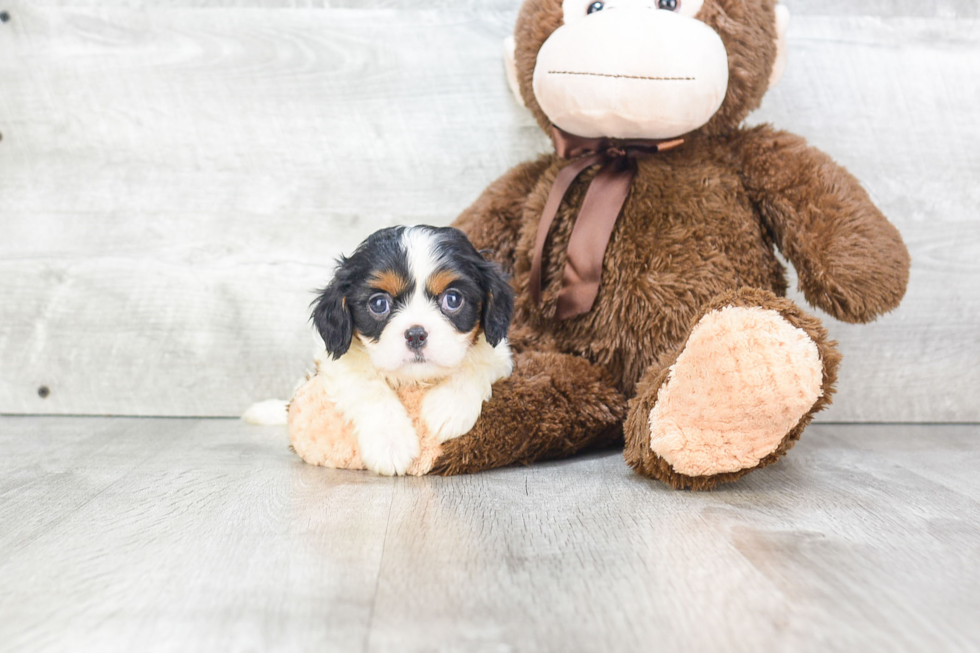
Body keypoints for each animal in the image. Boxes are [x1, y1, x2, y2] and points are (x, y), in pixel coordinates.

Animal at [245, 224, 516, 474]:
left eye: (453, 299)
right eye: (378, 304)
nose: (416, 334)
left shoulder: (498, 353)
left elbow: (477, 364)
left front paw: (449, 406)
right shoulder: (337, 363)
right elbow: (368, 387)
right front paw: (391, 442)